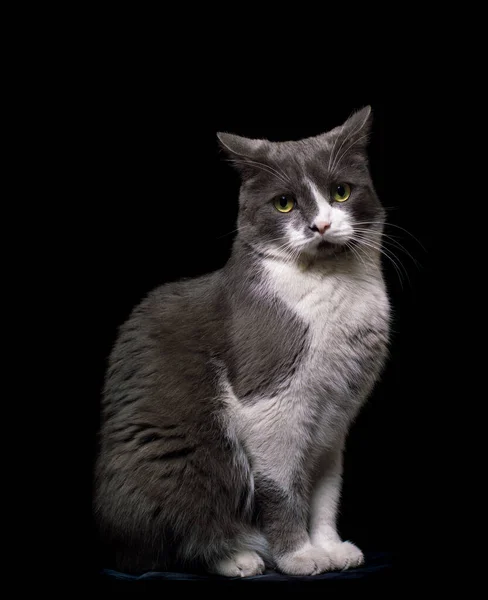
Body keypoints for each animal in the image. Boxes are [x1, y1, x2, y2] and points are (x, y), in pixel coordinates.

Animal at [94, 106, 392, 576]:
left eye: (341, 192)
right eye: (284, 203)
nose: (321, 224)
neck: (336, 289)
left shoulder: (337, 417)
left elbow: (326, 491)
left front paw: (331, 547)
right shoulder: (271, 402)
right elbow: (282, 488)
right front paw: (300, 556)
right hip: (192, 460)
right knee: (173, 537)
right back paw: (238, 557)